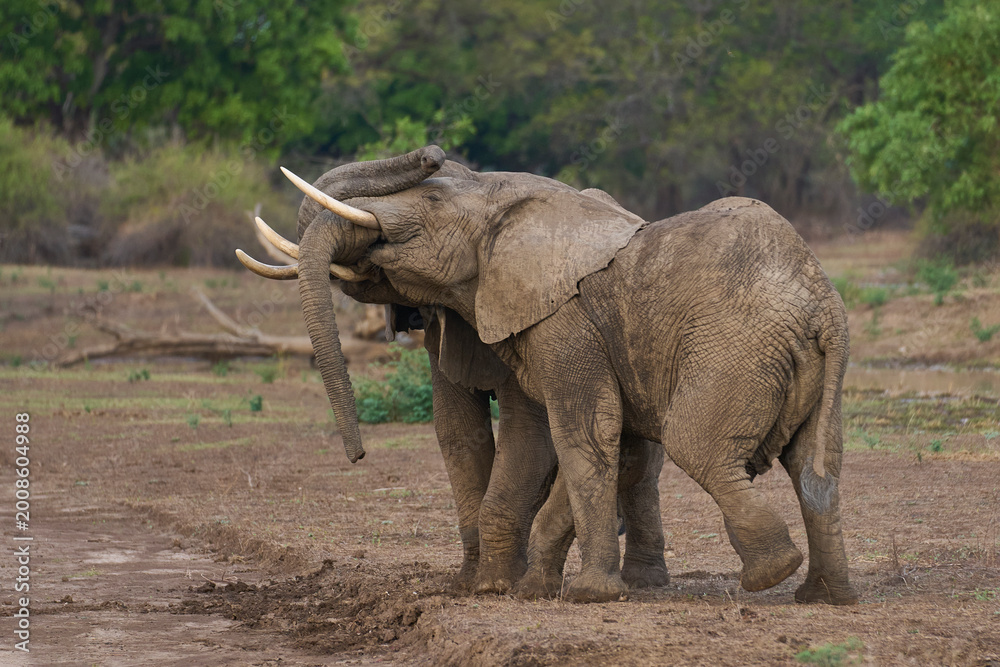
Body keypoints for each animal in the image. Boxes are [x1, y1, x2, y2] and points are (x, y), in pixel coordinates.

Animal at [239, 147, 669, 595]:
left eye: (431, 201)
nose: (432, 154)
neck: (487, 192)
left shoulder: (531, 311)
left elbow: (529, 431)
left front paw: (494, 586)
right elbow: (456, 429)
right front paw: (470, 582)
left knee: (641, 469)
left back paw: (642, 578)